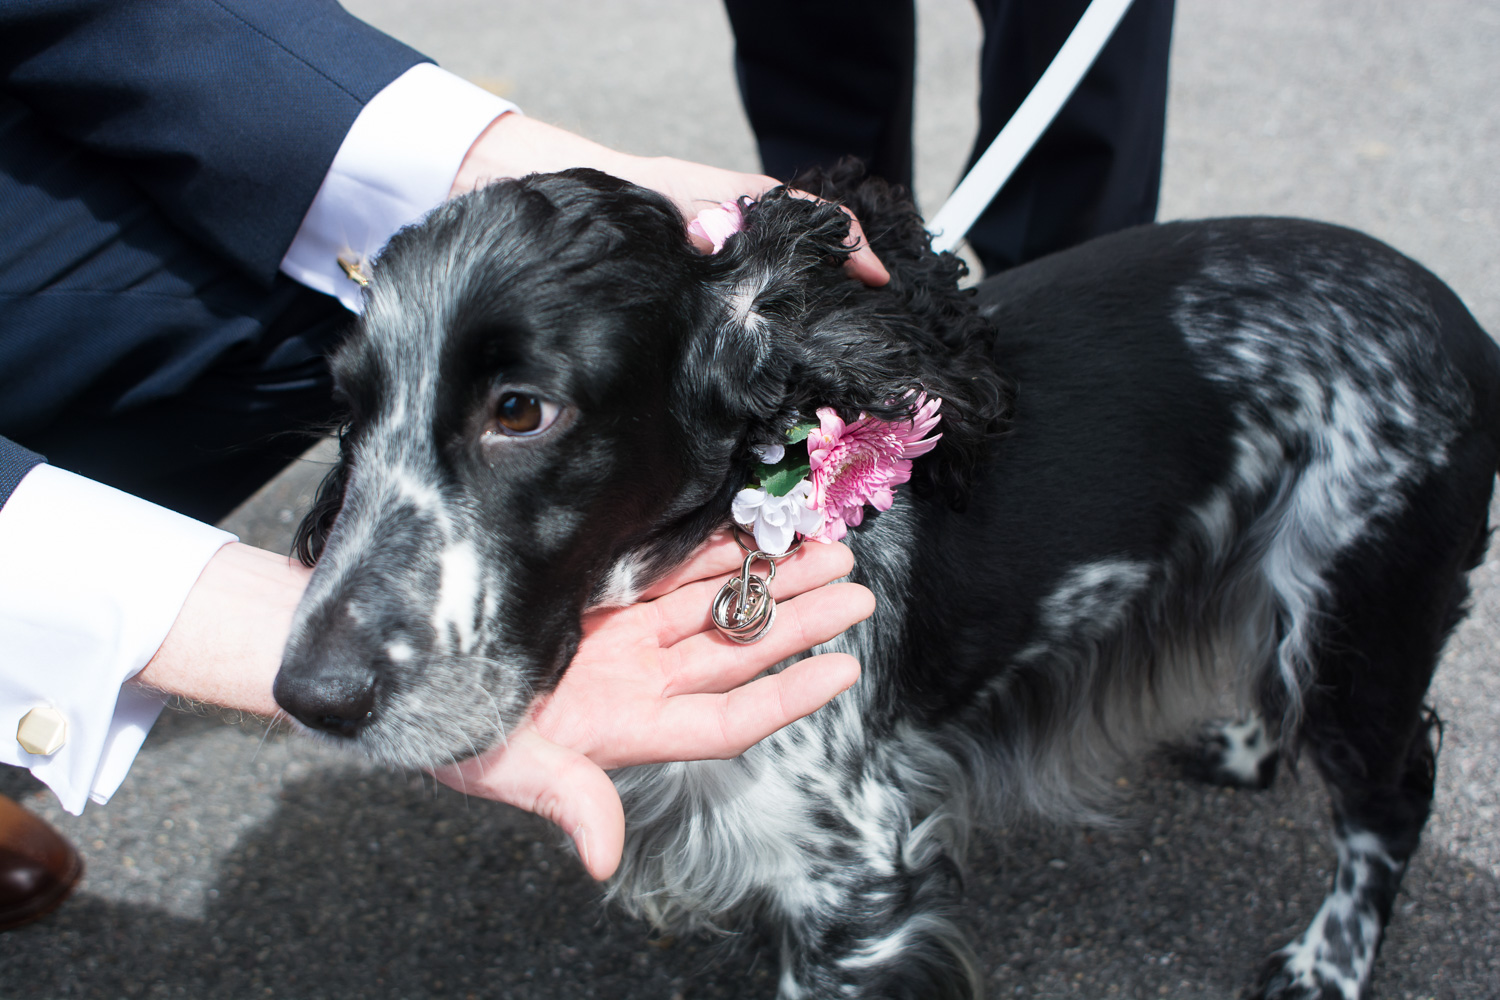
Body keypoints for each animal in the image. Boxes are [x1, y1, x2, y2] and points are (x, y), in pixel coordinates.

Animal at [273, 170, 1500, 1000]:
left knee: (1393, 794)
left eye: (521, 409)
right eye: (349, 411)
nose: (308, 694)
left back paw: (1324, 963)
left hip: (1360, 613)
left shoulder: (854, 881)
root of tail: (1459, 321)